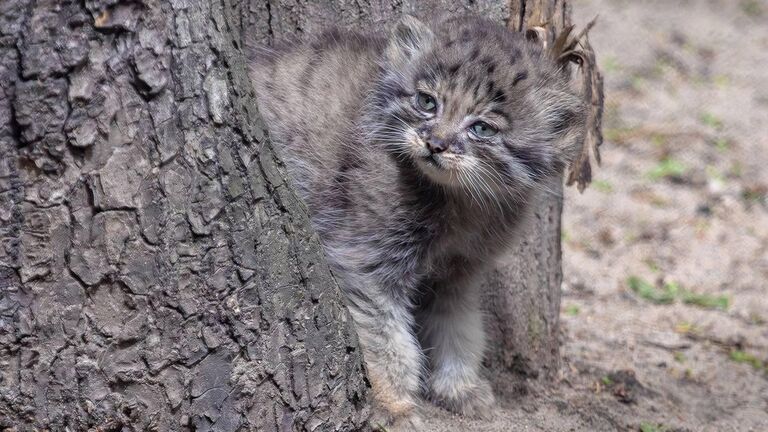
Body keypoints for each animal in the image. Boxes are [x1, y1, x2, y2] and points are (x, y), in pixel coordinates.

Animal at [249, 13, 584, 428]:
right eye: (427, 102)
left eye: (482, 128)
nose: (435, 144)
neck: (462, 204)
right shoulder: (366, 261)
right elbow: (386, 339)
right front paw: (392, 403)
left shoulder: (459, 272)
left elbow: (460, 328)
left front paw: (459, 387)